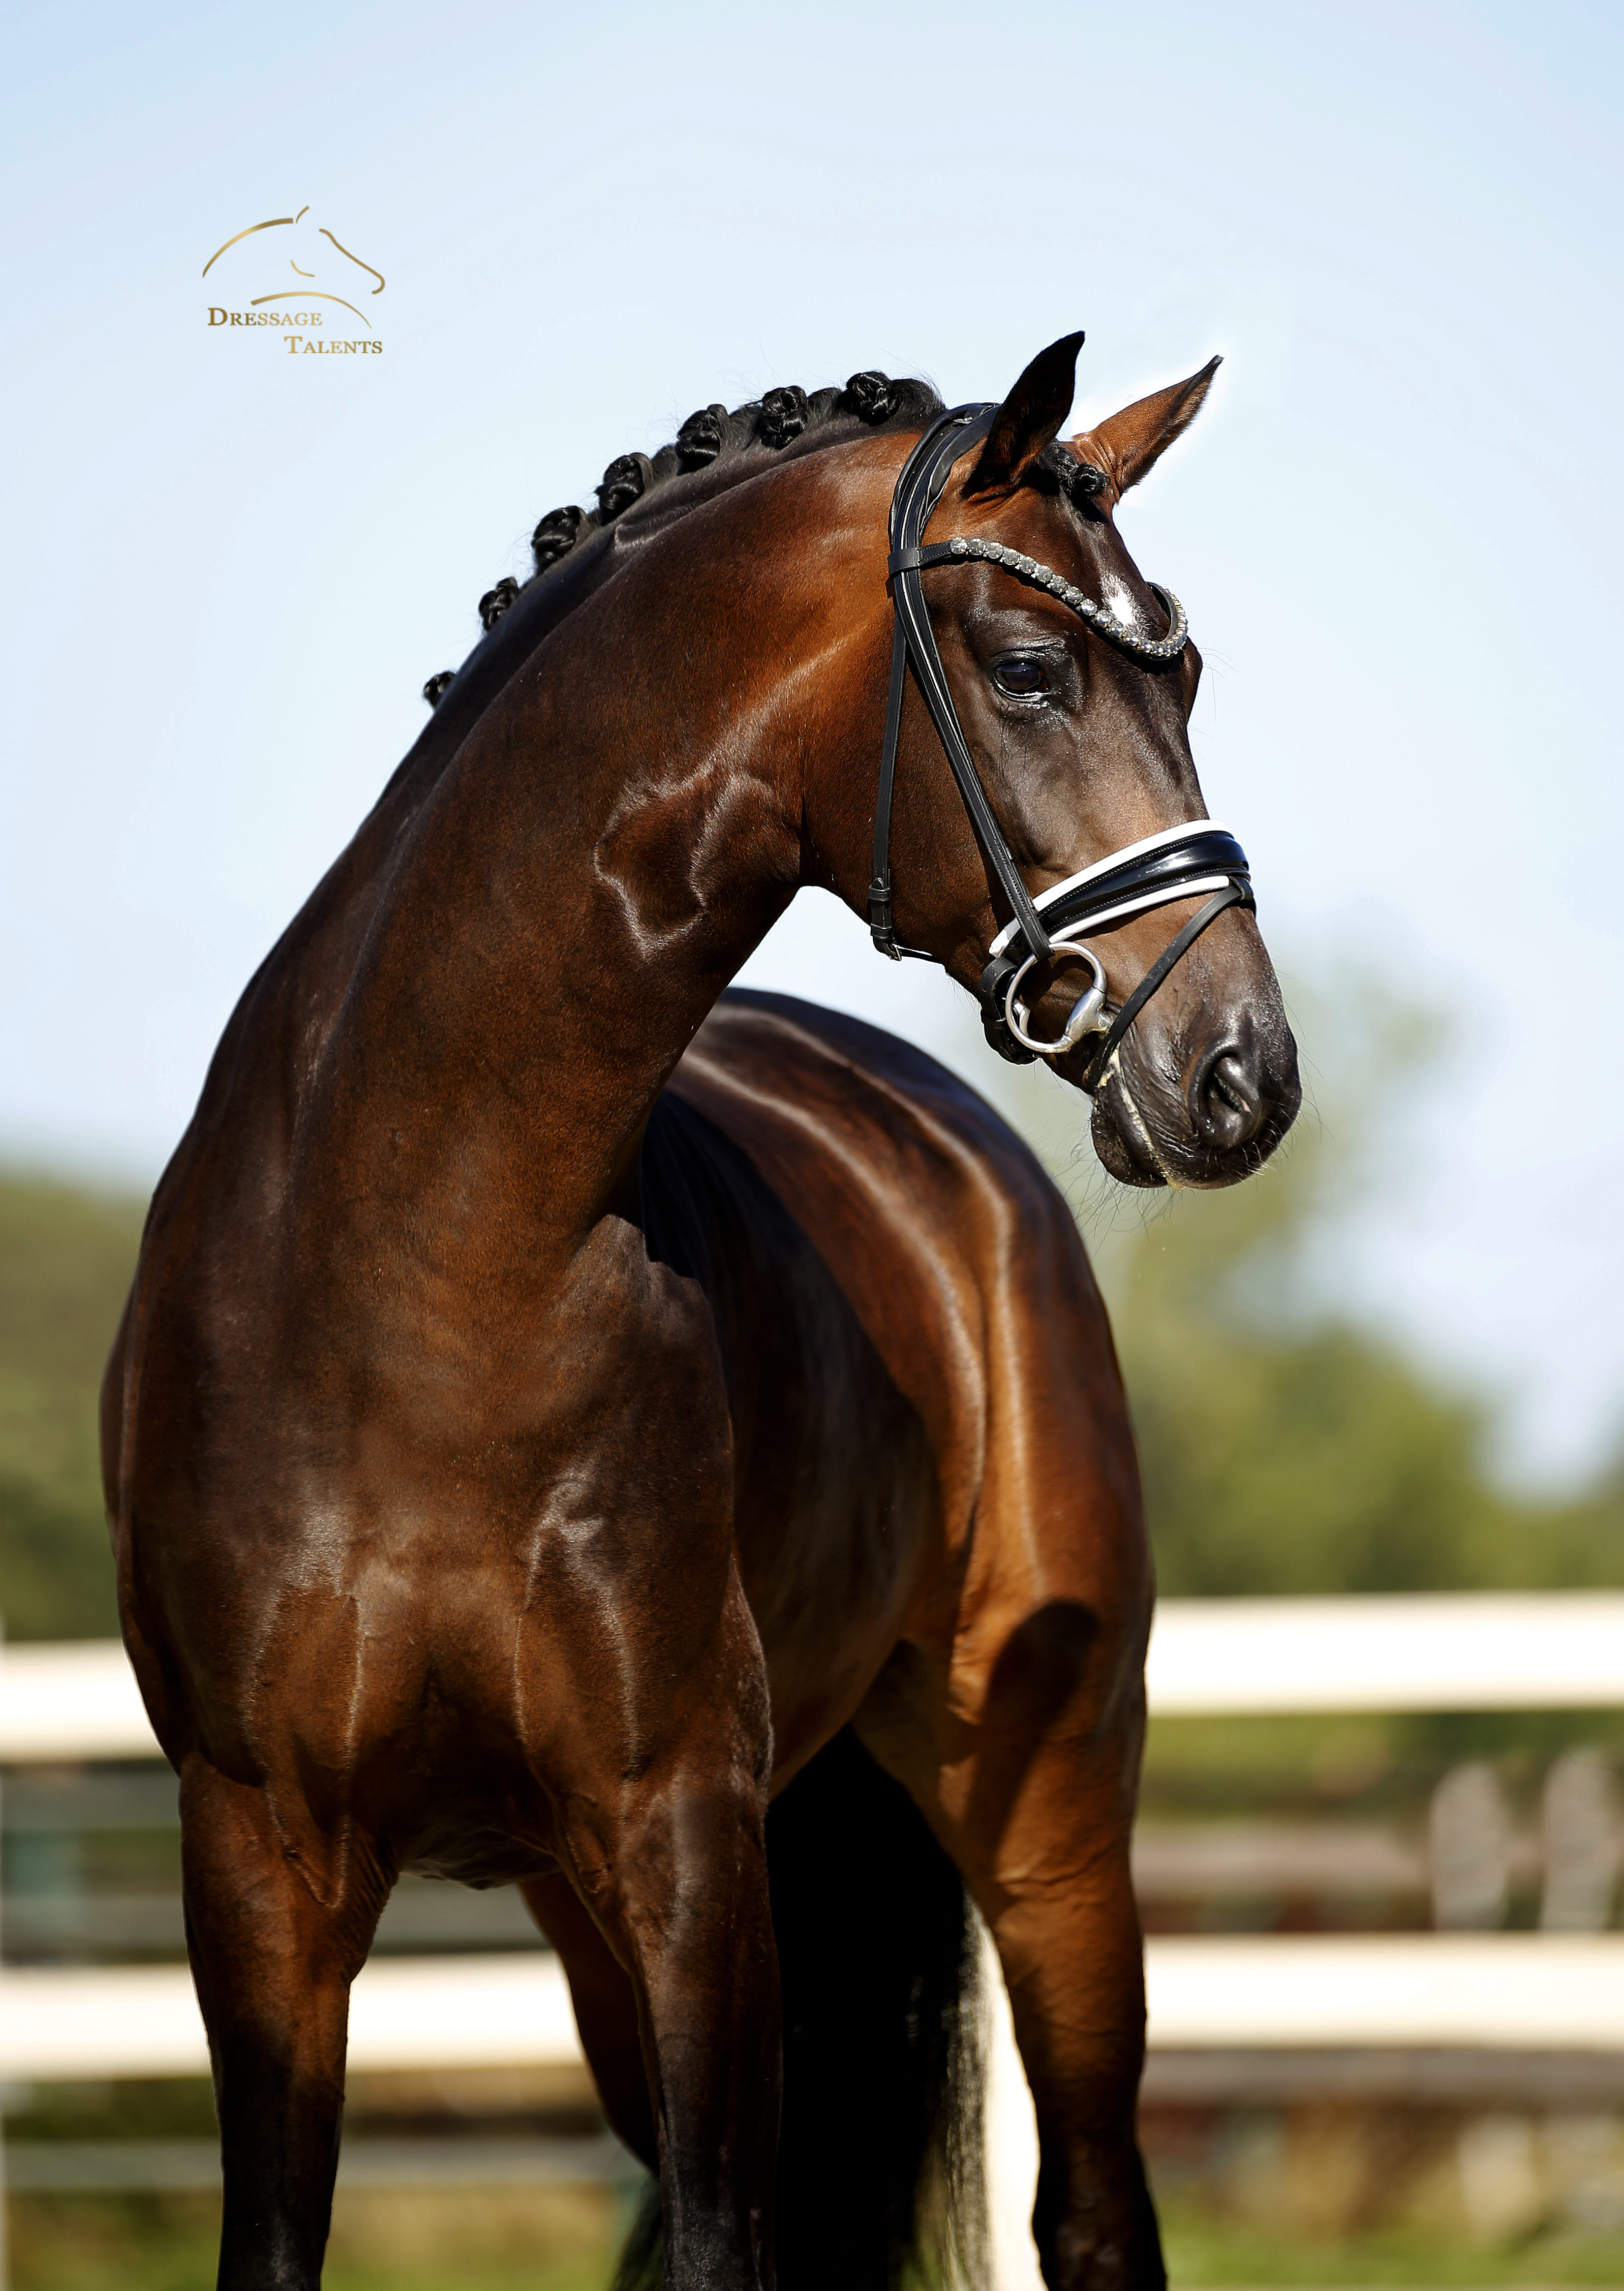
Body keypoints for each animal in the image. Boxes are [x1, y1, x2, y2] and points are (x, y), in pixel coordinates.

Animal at [101, 333, 1300, 2291]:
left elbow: (729, 2239)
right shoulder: (260, 1859)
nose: (1239, 1074)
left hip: (1041, 1808)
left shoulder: (681, 1836)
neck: (416, 1266)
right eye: (1031, 669)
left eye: (1183, 670)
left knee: (1091, 2205)